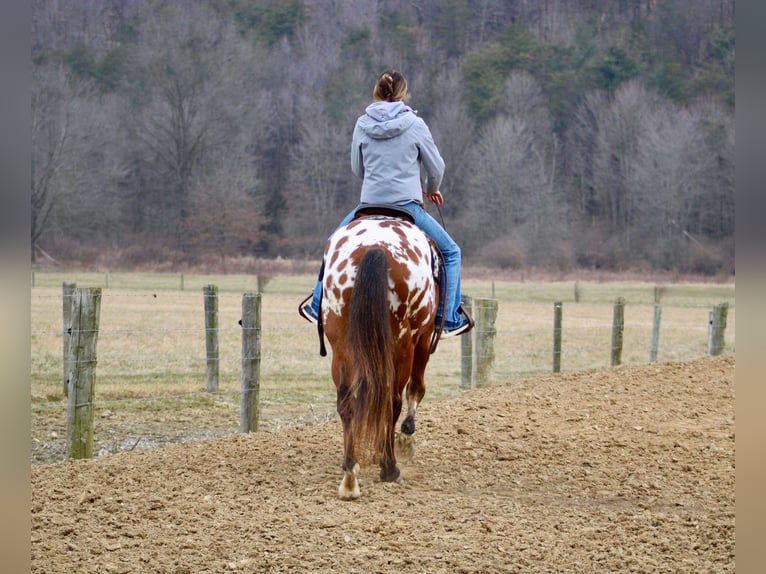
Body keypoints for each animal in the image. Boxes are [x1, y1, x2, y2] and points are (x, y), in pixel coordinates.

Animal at [320, 214, 440, 502]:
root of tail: (374, 247)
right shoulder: (423, 337)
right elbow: (417, 388)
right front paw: (406, 441)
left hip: (342, 346)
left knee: (347, 404)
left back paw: (350, 476)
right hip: (402, 345)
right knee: (392, 399)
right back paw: (389, 467)